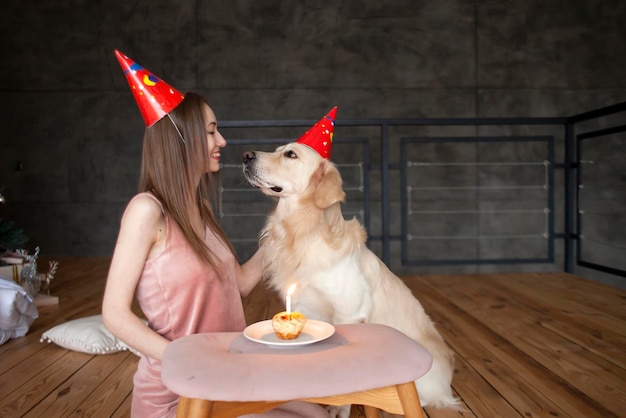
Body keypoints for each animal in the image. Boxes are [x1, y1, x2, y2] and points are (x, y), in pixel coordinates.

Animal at [241, 141, 456, 414]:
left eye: (290, 154)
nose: (246, 155)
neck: (303, 233)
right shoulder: (305, 306)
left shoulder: (350, 314)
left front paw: (339, 407)